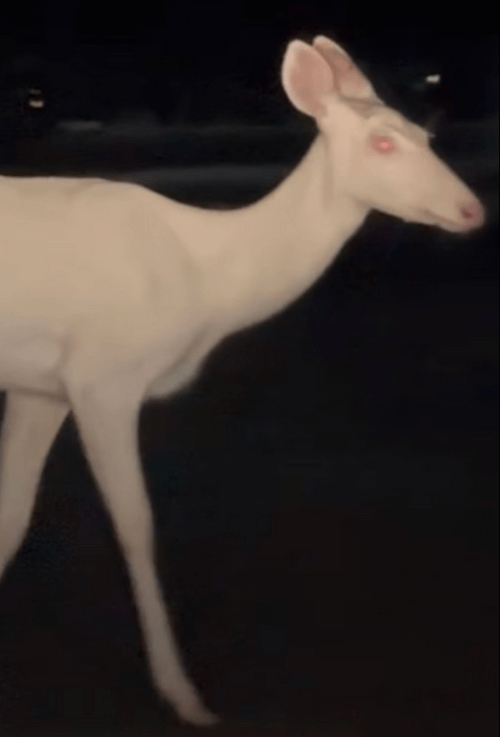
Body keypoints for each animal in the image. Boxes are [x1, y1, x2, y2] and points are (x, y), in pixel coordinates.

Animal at [0, 35, 485, 727]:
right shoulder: (102, 373)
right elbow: (136, 524)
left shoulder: (41, 383)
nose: (473, 209)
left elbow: (12, 516)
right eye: (383, 143)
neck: (205, 282)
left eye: (426, 133)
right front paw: (183, 694)